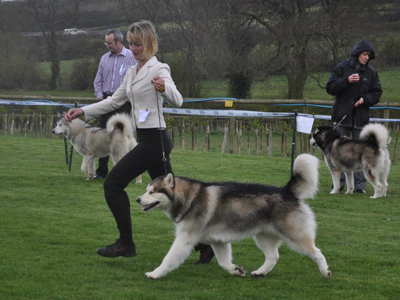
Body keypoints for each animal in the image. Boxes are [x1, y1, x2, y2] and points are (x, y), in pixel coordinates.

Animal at [138, 154, 332, 280]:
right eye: (147, 190)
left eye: (152, 191)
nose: (137, 199)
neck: (189, 198)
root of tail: (286, 191)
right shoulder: (218, 241)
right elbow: (224, 262)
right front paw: (235, 270)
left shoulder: (185, 240)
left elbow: (168, 258)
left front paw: (154, 273)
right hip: (263, 236)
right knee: (273, 256)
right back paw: (260, 272)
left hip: (295, 235)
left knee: (317, 252)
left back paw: (325, 271)